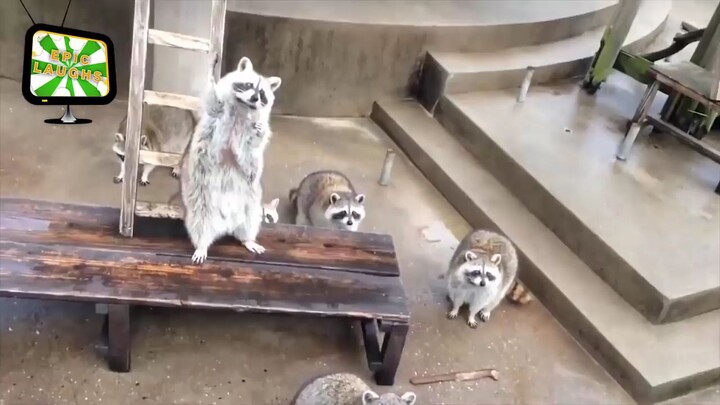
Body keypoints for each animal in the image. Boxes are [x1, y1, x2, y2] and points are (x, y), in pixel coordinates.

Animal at [180, 54, 281, 263]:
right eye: (248, 85)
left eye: (262, 93)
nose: (254, 98)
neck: (242, 108)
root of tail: (226, 224)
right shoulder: (215, 111)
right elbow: (212, 98)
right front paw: (211, 74)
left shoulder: (252, 131)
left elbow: (257, 140)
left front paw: (260, 131)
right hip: (201, 204)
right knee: (199, 225)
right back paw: (202, 244)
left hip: (251, 205)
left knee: (250, 222)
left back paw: (248, 239)